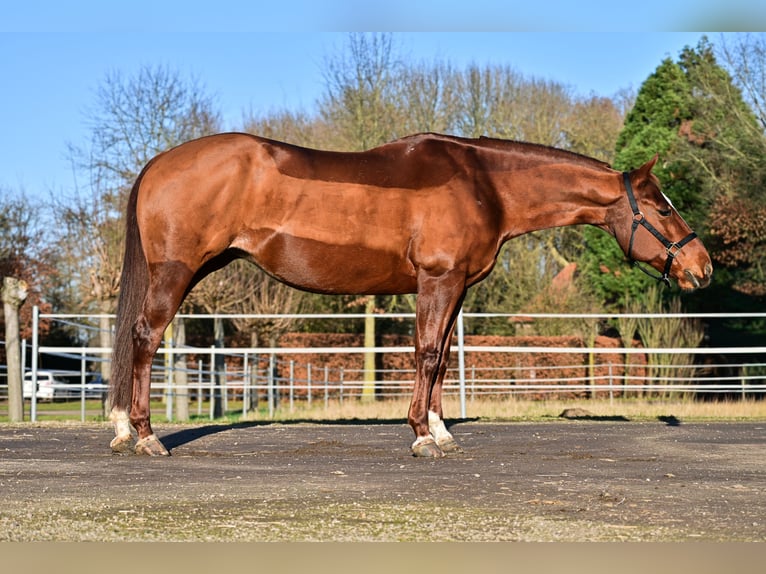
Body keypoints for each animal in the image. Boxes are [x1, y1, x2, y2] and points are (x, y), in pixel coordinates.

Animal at [108, 132, 712, 457]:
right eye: (661, 208)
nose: (701, 268)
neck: (485, 184)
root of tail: (159, 163)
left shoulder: (457, 286)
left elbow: (441, 358)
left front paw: (442, 431)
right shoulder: (437, 280)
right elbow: (424, 354)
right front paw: (422, 435)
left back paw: (120, 428)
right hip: (176, 273)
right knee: (144, 338)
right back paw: (144, 435)